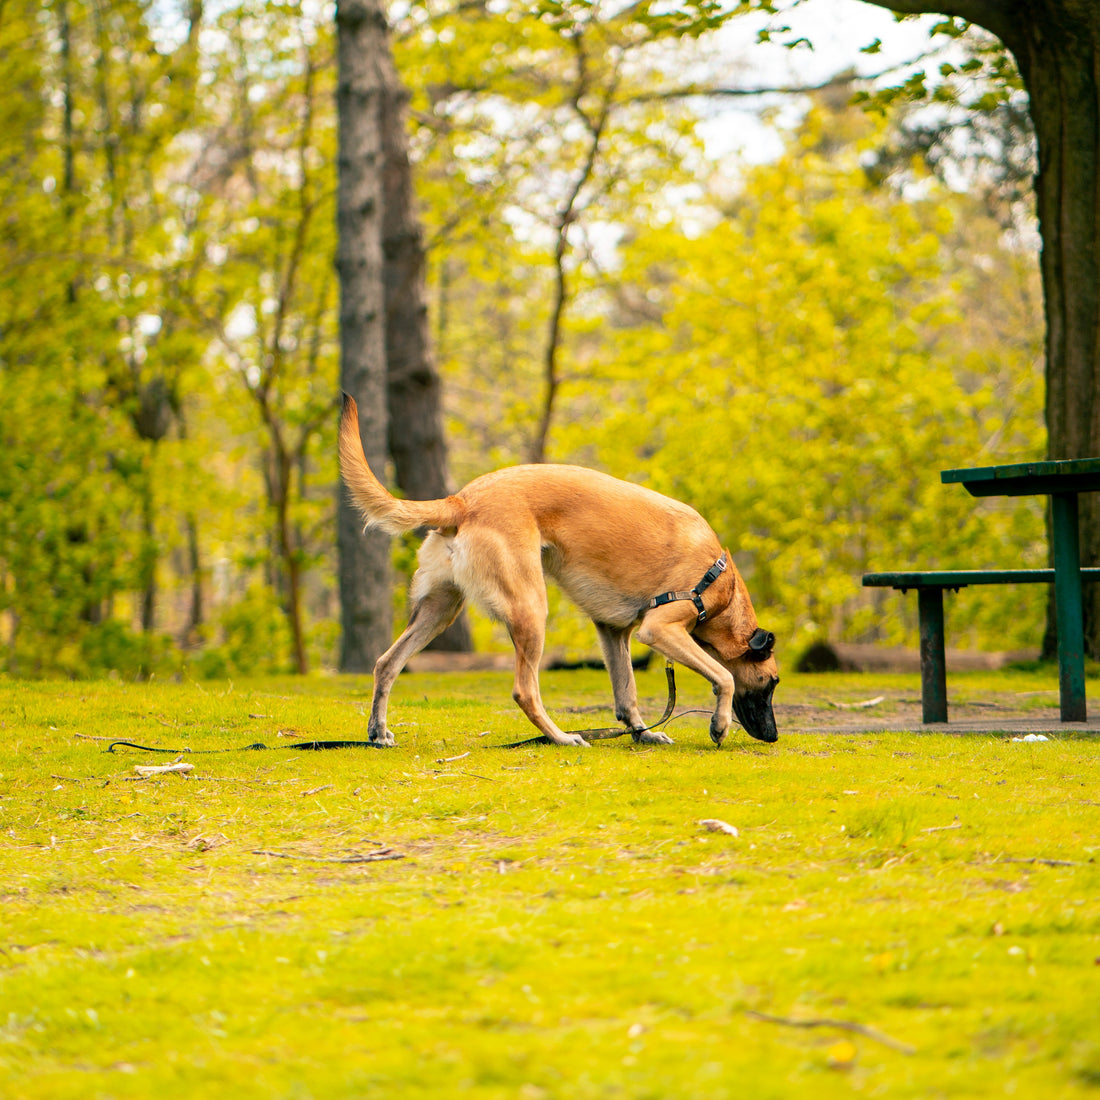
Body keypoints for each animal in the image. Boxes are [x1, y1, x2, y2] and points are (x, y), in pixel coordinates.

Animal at [338, 396, 778, 748]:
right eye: (771, 683)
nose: (773, 736)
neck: (720, 581)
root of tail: (461, 500)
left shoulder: (614, 632)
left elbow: (627, 693)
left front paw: (643, 733)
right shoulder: (661, 629)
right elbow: (724, 677)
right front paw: (719, 726)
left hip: (440, 611)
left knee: (386, 663)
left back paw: (378, 732)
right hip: (531, 608)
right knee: (525, 691)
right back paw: (562, 737)